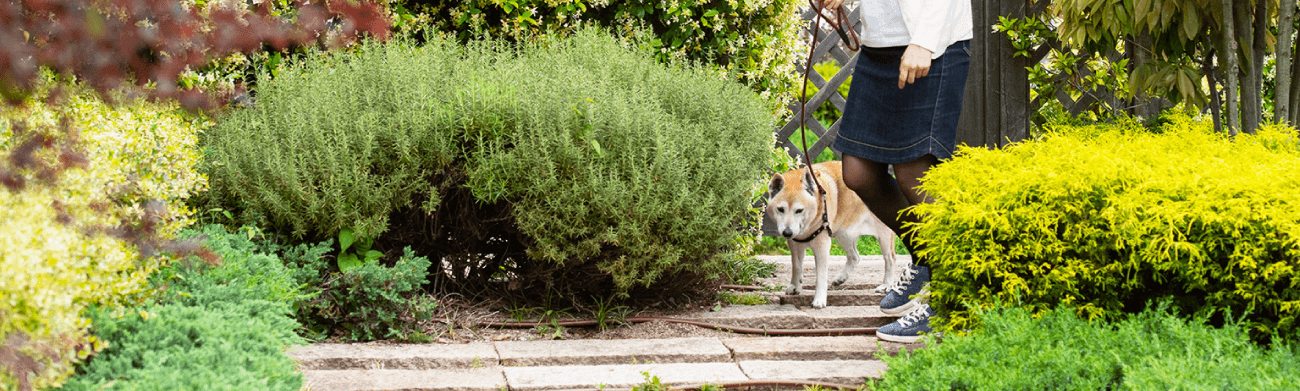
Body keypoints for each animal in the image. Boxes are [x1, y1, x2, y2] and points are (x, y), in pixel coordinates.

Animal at [764, 160, 899, 307]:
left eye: (799, 210)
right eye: (780, 209)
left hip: (883, 235)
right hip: (843, 234)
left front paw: (819, 299)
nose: (787, 232)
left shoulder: (822, 246)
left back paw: (886, 285)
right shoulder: (795, 245)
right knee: (855, 256)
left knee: (890, 259)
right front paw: (795, 286)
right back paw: (841, 278)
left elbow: (821, 276)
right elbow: (797, 266)